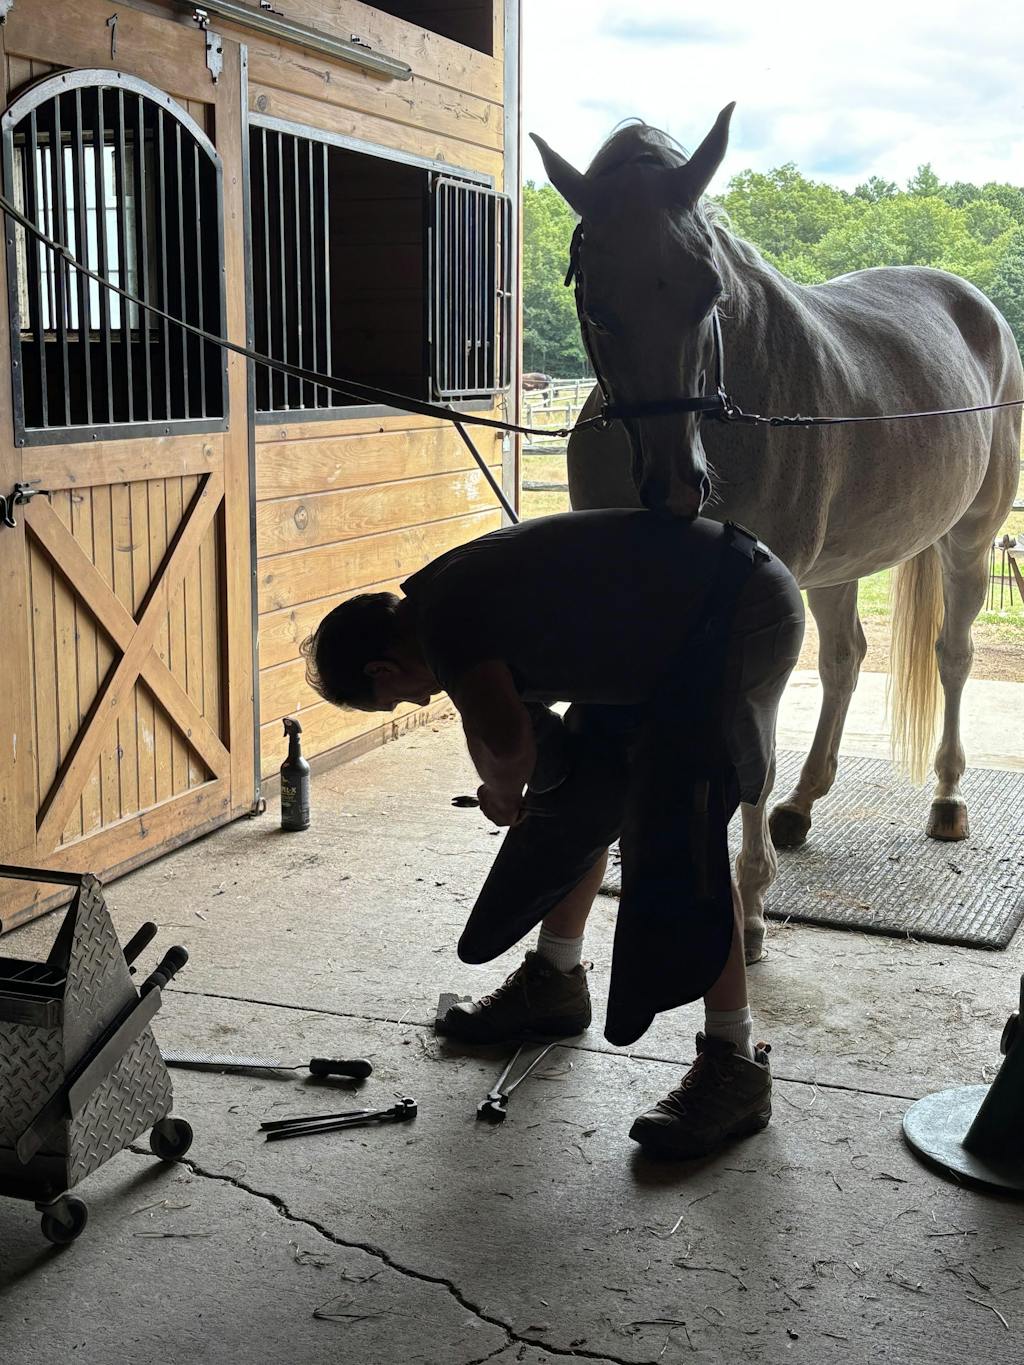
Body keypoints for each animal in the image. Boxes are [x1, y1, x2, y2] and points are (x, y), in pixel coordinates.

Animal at [531, 105, 1023, 962]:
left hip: (967, 541)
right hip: (837, 568)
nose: (678, 486)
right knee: (845, 660)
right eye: (595, 298)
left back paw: (947, 798)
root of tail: (980, 310)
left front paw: (750, 909)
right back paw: (804, 803)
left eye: (710, 291)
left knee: (952, 657)